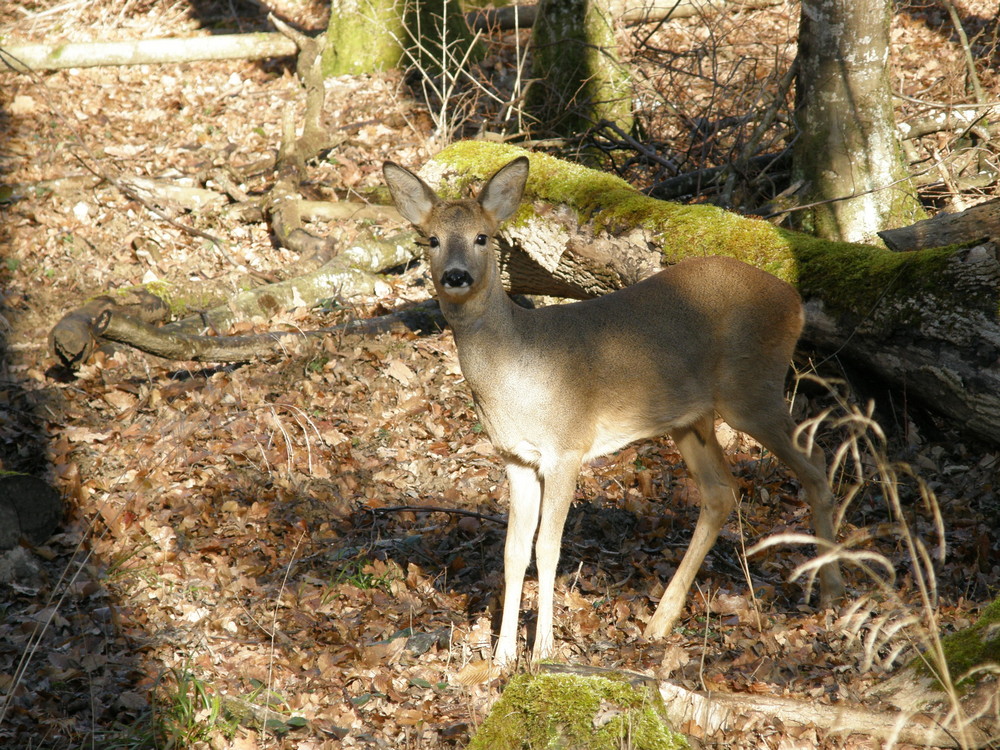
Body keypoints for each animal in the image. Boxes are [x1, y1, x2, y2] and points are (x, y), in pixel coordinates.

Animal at [382, 156, 844, 668]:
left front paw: (542, 650)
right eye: (432, 239)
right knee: (723, 491)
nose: (457, 276)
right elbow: (513, 550)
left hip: (752, 391)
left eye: (482, 237)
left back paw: (832, 593)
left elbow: (548, 546)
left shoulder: (567, 445)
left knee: (816, 462)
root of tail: (795, 303)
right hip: (690, 417)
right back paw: (660, 621)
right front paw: (502, 657)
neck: (517, 365)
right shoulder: (516, 457)